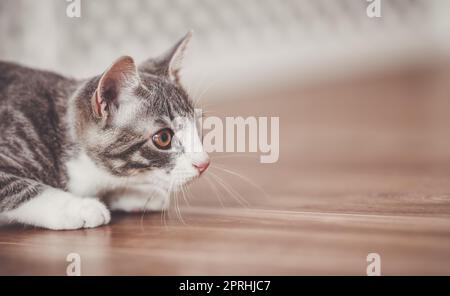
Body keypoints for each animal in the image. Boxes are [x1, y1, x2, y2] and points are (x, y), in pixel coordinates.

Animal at [0, 33, 209, 231]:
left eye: (197, 126)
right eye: (164, 138)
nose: (204, 164)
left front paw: (137, 192)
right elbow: (16, 186)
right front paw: (78, 207)